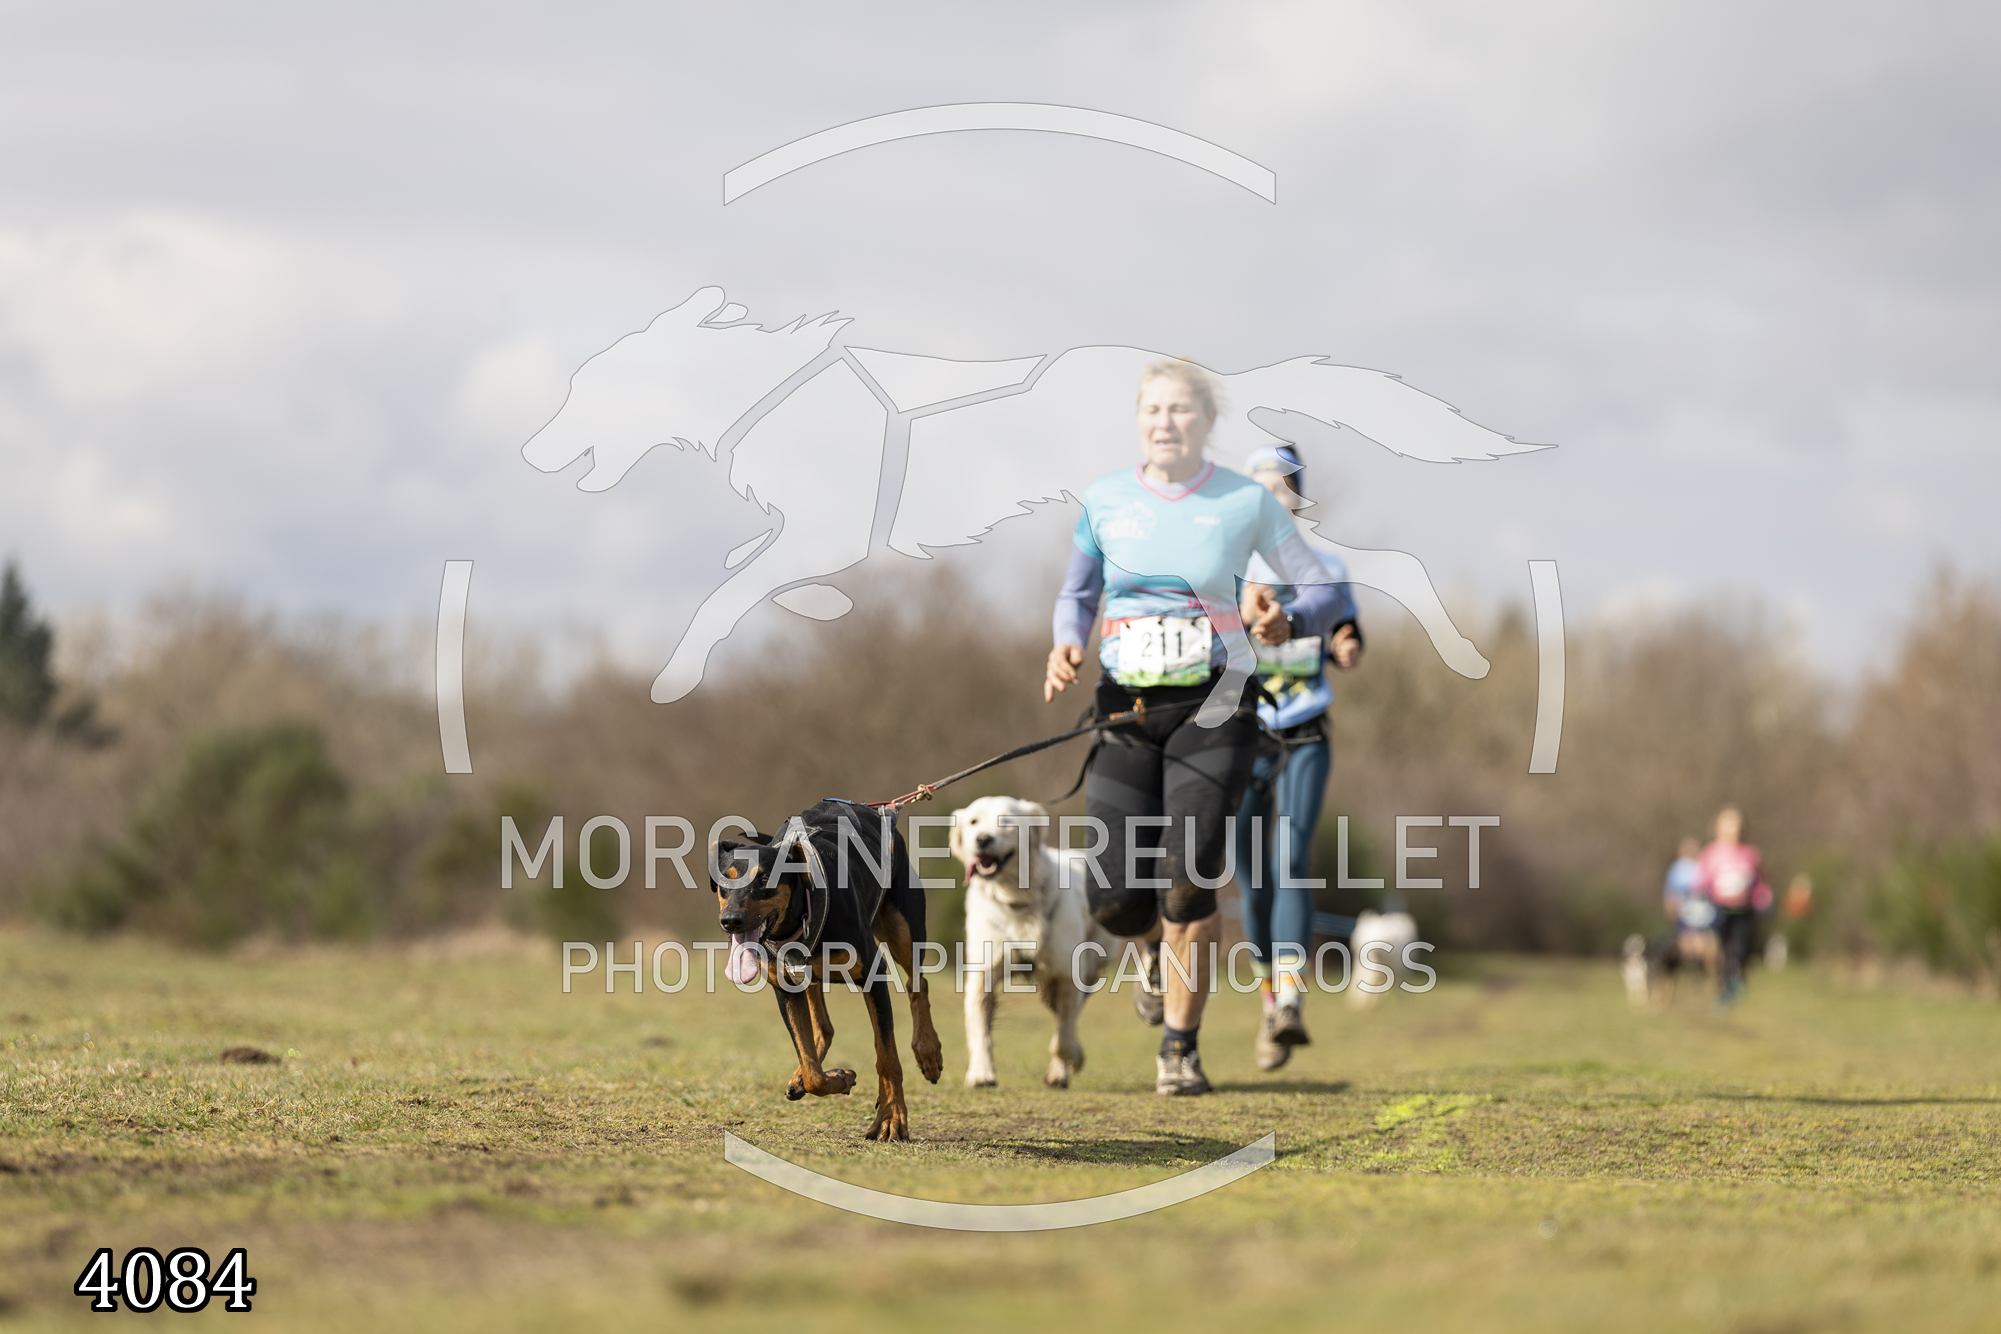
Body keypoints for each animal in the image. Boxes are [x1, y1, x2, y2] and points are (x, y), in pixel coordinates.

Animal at [711, 798, 944, 1141]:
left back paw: (928, 1051)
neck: (800, 914)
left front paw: (891, 1119)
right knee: (822, 1027)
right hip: (806, 973)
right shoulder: (784, 987)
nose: (731, 921)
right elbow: (811, 1067)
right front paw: (838, 1078)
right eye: (724, 883)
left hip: (904, 926)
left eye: (765, 880)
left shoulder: (873, 973)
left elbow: (887, 1056)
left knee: (919, 984)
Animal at [949, 796, 1118, 1088]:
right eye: (973, 822)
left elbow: (1062, 1039)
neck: (1016, 898)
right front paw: (981, 1072)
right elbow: (979, 1028)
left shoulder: (1067, 974)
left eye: (1006, 821)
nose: (982, 839)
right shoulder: (983, 972)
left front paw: (1069, 1061)